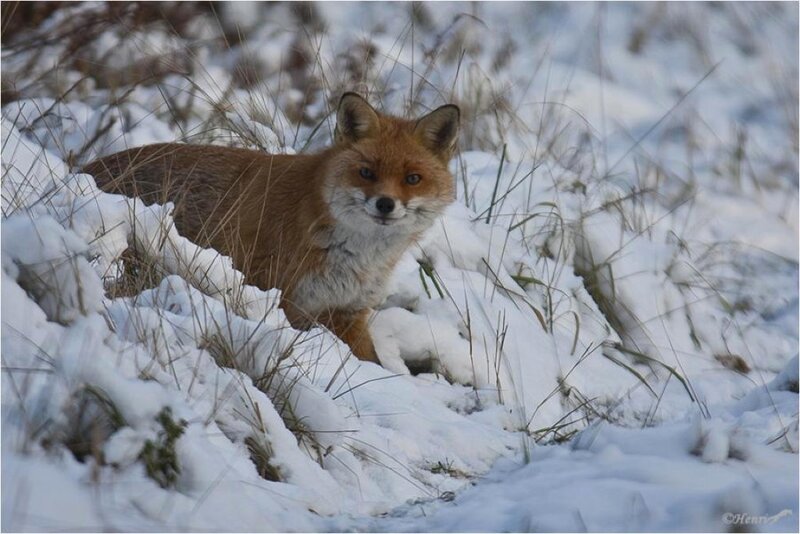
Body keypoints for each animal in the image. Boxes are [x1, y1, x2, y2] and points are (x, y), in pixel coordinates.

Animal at [84, 93, 460, 364]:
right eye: (366, 172)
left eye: (413, 179)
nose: (385, 204)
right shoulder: (280, 296)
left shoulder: (346, 311)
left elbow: (371, 363)